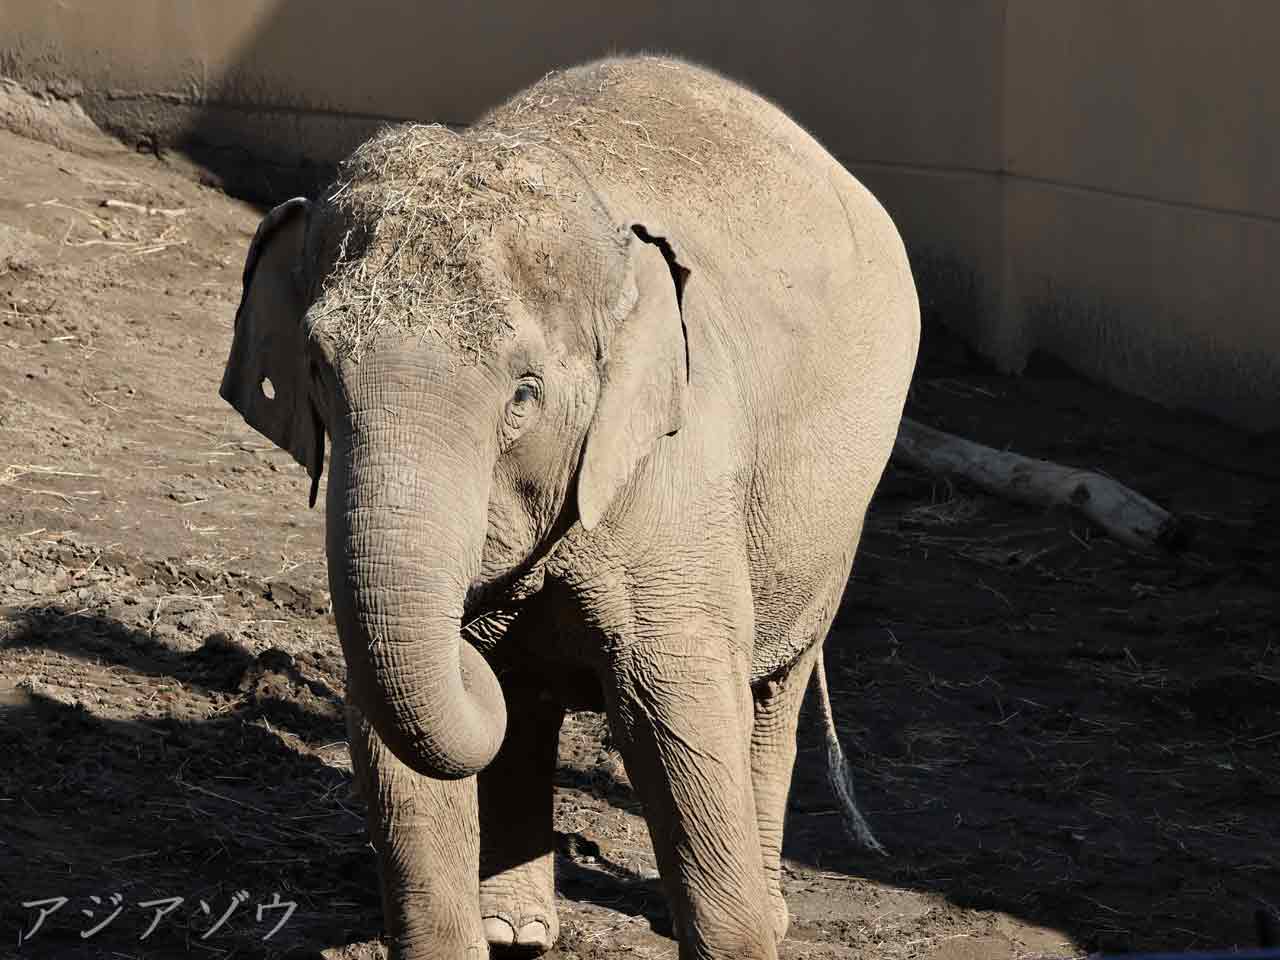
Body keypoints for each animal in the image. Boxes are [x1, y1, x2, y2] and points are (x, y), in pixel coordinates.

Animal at [222, 54, 921, 960]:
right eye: (317, 368)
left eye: (525, 394)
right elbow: (389, 730)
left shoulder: (676, 479)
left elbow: (683, 712)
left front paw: (741, 936)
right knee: (526, 703)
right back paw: (514, 927)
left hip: (839, 509)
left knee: (773, 694)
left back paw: (771, 909)